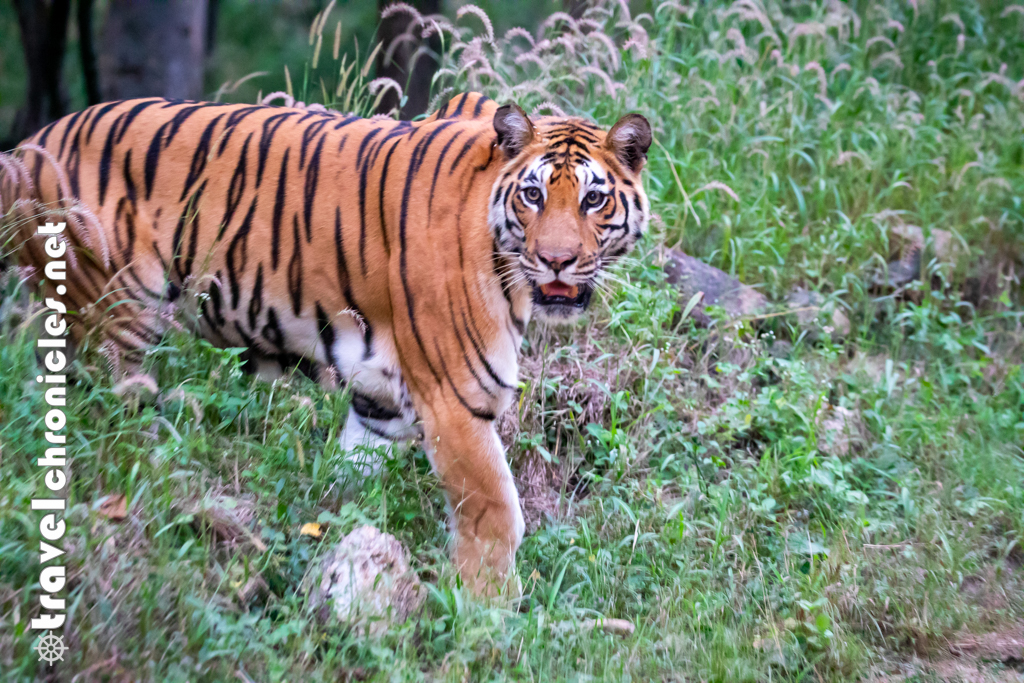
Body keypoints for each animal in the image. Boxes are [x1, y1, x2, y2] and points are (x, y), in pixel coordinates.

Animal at [2, 90, 655, 593]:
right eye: (534, 195)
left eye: (593, 199)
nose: (557, 261)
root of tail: (27, 145)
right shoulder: (455, 400)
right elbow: (495, 513)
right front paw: (487, 614)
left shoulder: (381, 401)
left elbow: (350, 479)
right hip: (114, 314)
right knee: (109, 419)